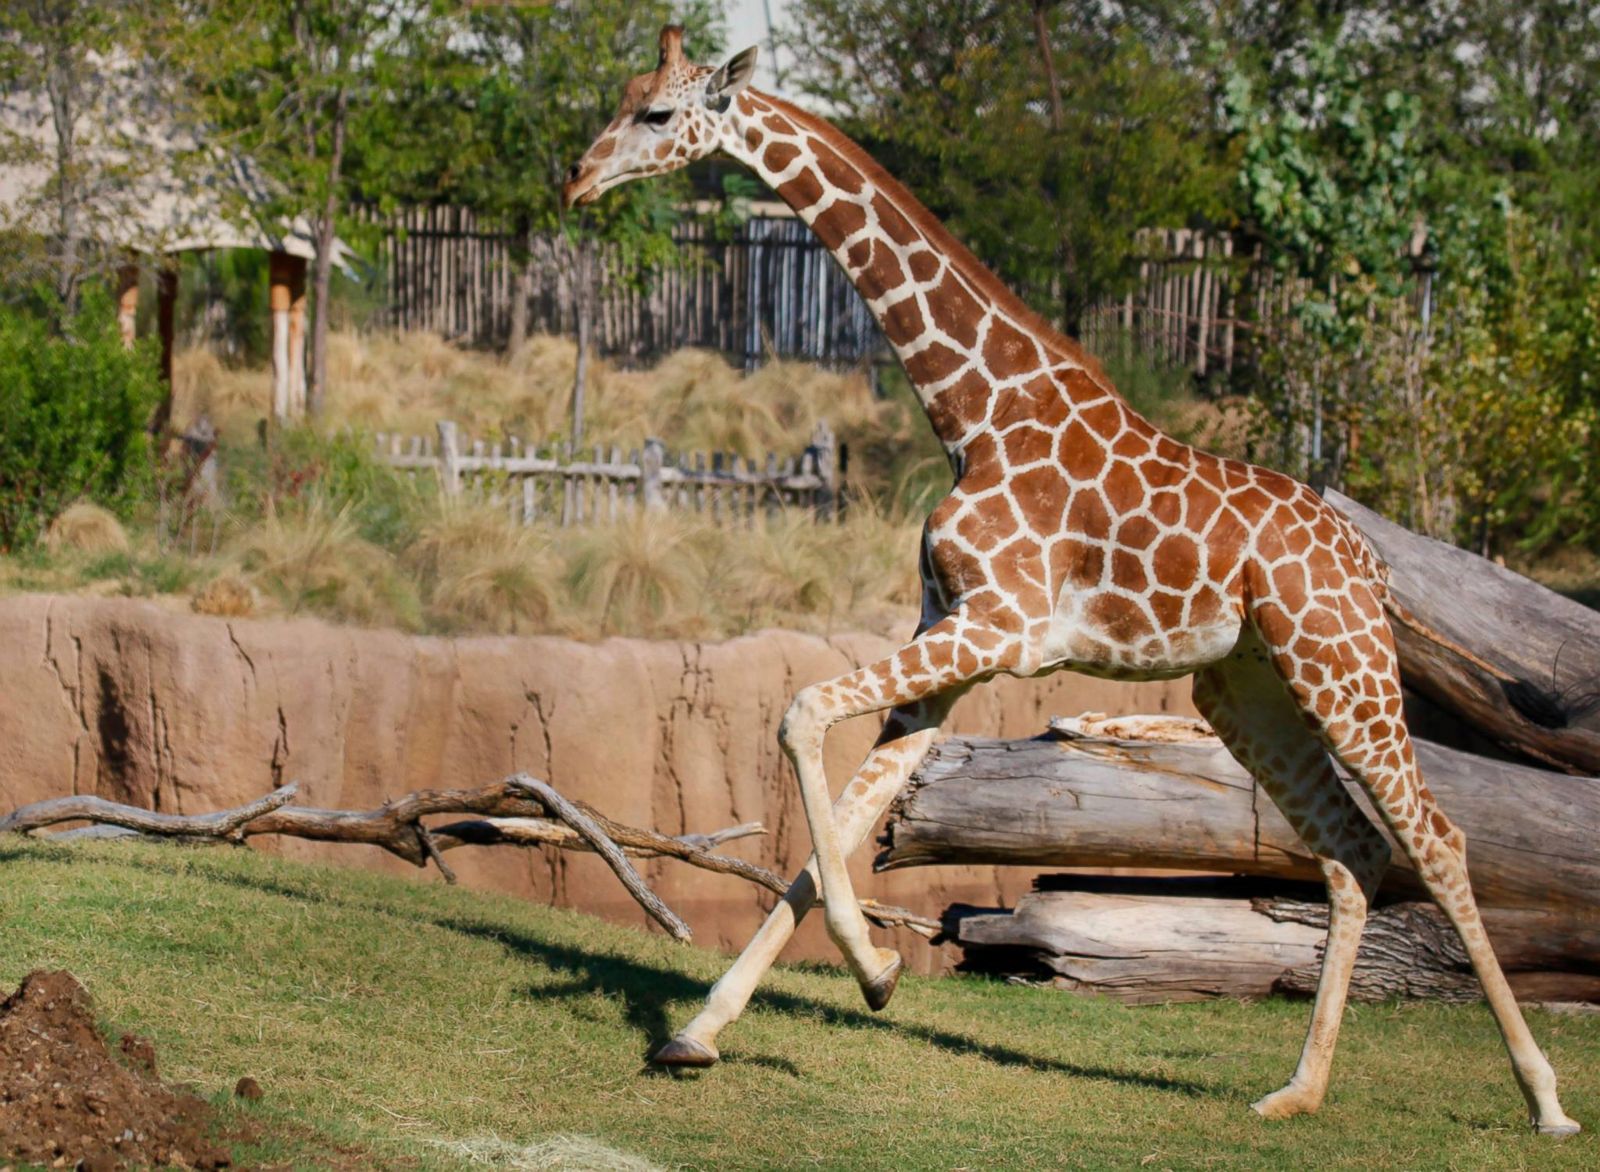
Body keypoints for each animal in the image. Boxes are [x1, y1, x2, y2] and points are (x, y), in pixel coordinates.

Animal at [560, 27, 1574, 1133]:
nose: (576, 178)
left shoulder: (997, 630)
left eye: (658, 113)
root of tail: (1370, 562)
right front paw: (706, 1029)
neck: (974, 413)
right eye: (623, 94)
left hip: (1340, 666)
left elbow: (799, 713)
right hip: (1247, 686)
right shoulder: (954, 638)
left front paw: (869, 973)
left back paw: (1544, 1099)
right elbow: (847, 808)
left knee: (1437, 838)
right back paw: (1297, 1090)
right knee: (1353, 846)